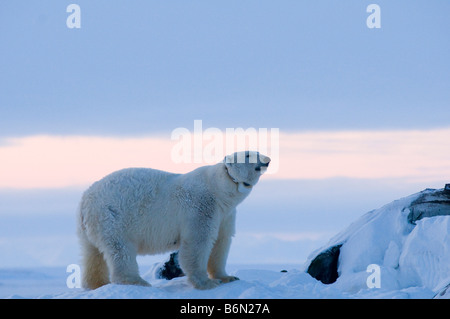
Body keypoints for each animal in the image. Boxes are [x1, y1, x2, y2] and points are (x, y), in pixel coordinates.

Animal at [76, 152, 270, 290]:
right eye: (248, 154)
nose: (267, 159)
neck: (218, 189)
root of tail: (85, 200)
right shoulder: (201, 206)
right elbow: (198, 242)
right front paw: (206, 283)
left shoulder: (225, 214)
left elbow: (221, 242)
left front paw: (227, 277)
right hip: (113, 217)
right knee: (121, 250)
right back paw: (137, 281)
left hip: (90, 226)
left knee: (91, 254)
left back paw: (96, 284)